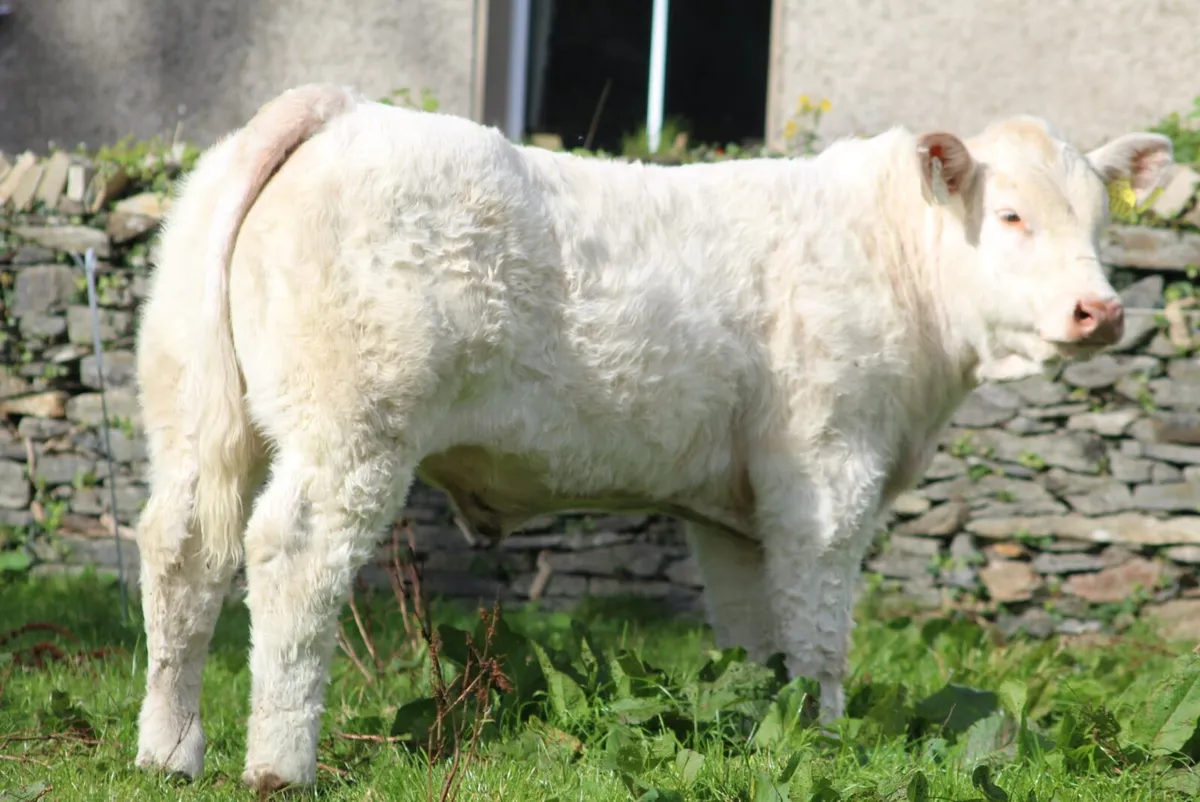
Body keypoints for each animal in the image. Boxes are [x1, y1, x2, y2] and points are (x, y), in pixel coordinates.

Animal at [130, 83, 1172, 791]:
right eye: (1011, 215)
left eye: (1100, 223)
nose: (1101, 311)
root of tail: (339, 108)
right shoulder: (826, 469)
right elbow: (821, 629)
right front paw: (826, 738)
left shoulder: (734, 510)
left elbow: (760, 634)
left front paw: (766, 730)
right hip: (353, 426)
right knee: (290, 559)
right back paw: (279, 764)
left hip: (196, 413)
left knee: (184, 550)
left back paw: (169, 751)